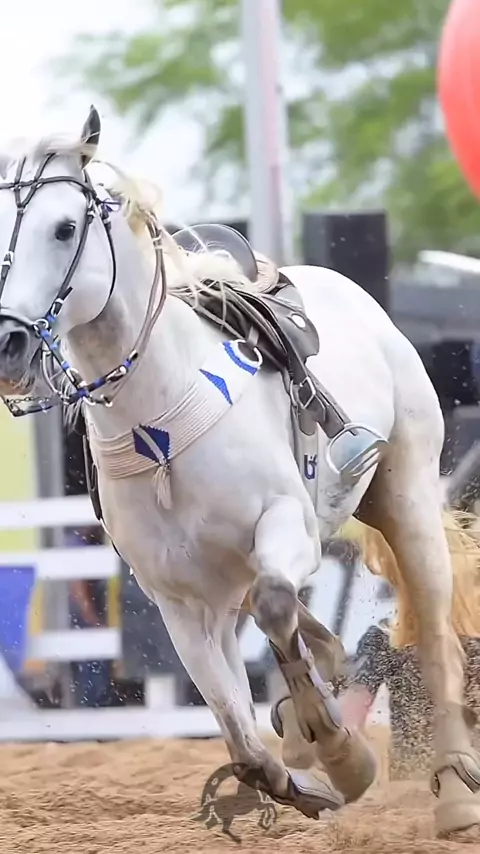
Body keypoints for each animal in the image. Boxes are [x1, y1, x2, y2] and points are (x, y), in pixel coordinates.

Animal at [0, 106, 478, 841]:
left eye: (63, 228)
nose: (7, 344)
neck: (161, 424)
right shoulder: (178, 600)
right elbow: (242, 738)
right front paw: (308, 767)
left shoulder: (290, 527)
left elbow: (278, 604)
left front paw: (343, 756)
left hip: (409, 499)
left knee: (431, 634)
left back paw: (453, 792)